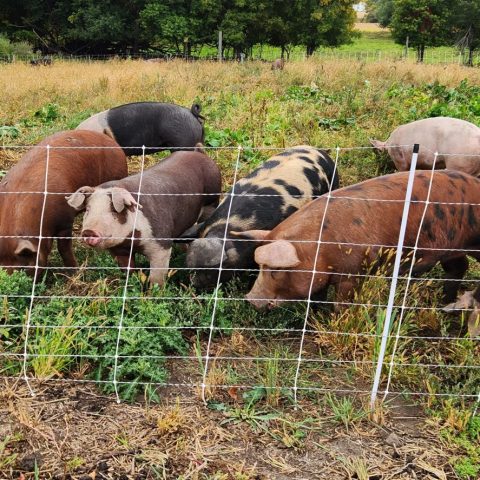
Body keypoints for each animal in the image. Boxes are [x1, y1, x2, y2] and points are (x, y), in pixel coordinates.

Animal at [67, 151, 221, 284]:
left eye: (114, 210)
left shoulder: (161, 243)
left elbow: (157, 277)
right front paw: (131, 282)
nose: (88, 231)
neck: (131, 242)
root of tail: (199, 153)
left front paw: (153, 293)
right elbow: (128, 269)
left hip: (212, 200)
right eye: (88, 209)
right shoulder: (119, 251)